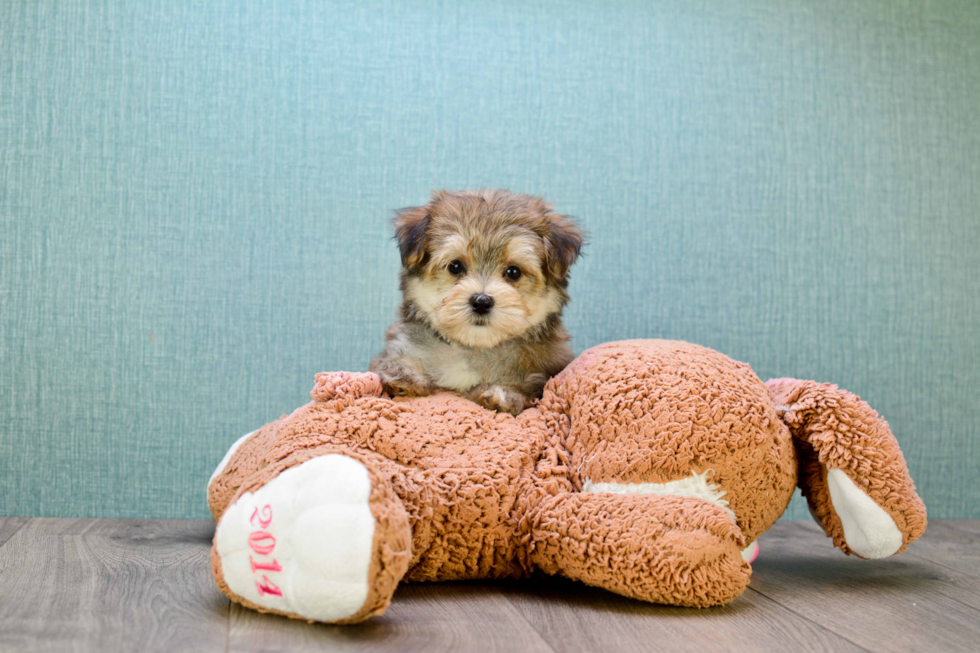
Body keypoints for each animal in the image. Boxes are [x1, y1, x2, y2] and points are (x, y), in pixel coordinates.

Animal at [368, 188, 580, 412]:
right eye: (455, 266)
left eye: (513, 272)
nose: (481, 301)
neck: (472, 348)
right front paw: (405, 375)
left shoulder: (546, 369)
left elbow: (527, 386)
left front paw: (503, 393)